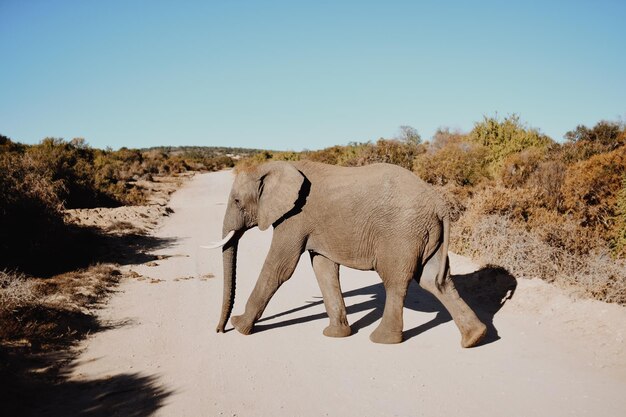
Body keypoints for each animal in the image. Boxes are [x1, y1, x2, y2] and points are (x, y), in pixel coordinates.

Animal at [207, 161, 486, 346]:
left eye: (237, 202)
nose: (219, 331)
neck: (275, 167)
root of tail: (440, 205)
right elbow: (323, 268)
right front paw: (335, 335)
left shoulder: (295, 217)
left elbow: (279, 268)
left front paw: (240, 327)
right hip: (426, 233)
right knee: (435, 281)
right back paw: (475, 338)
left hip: (402, 233)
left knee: (396, 281)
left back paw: (382, 339)